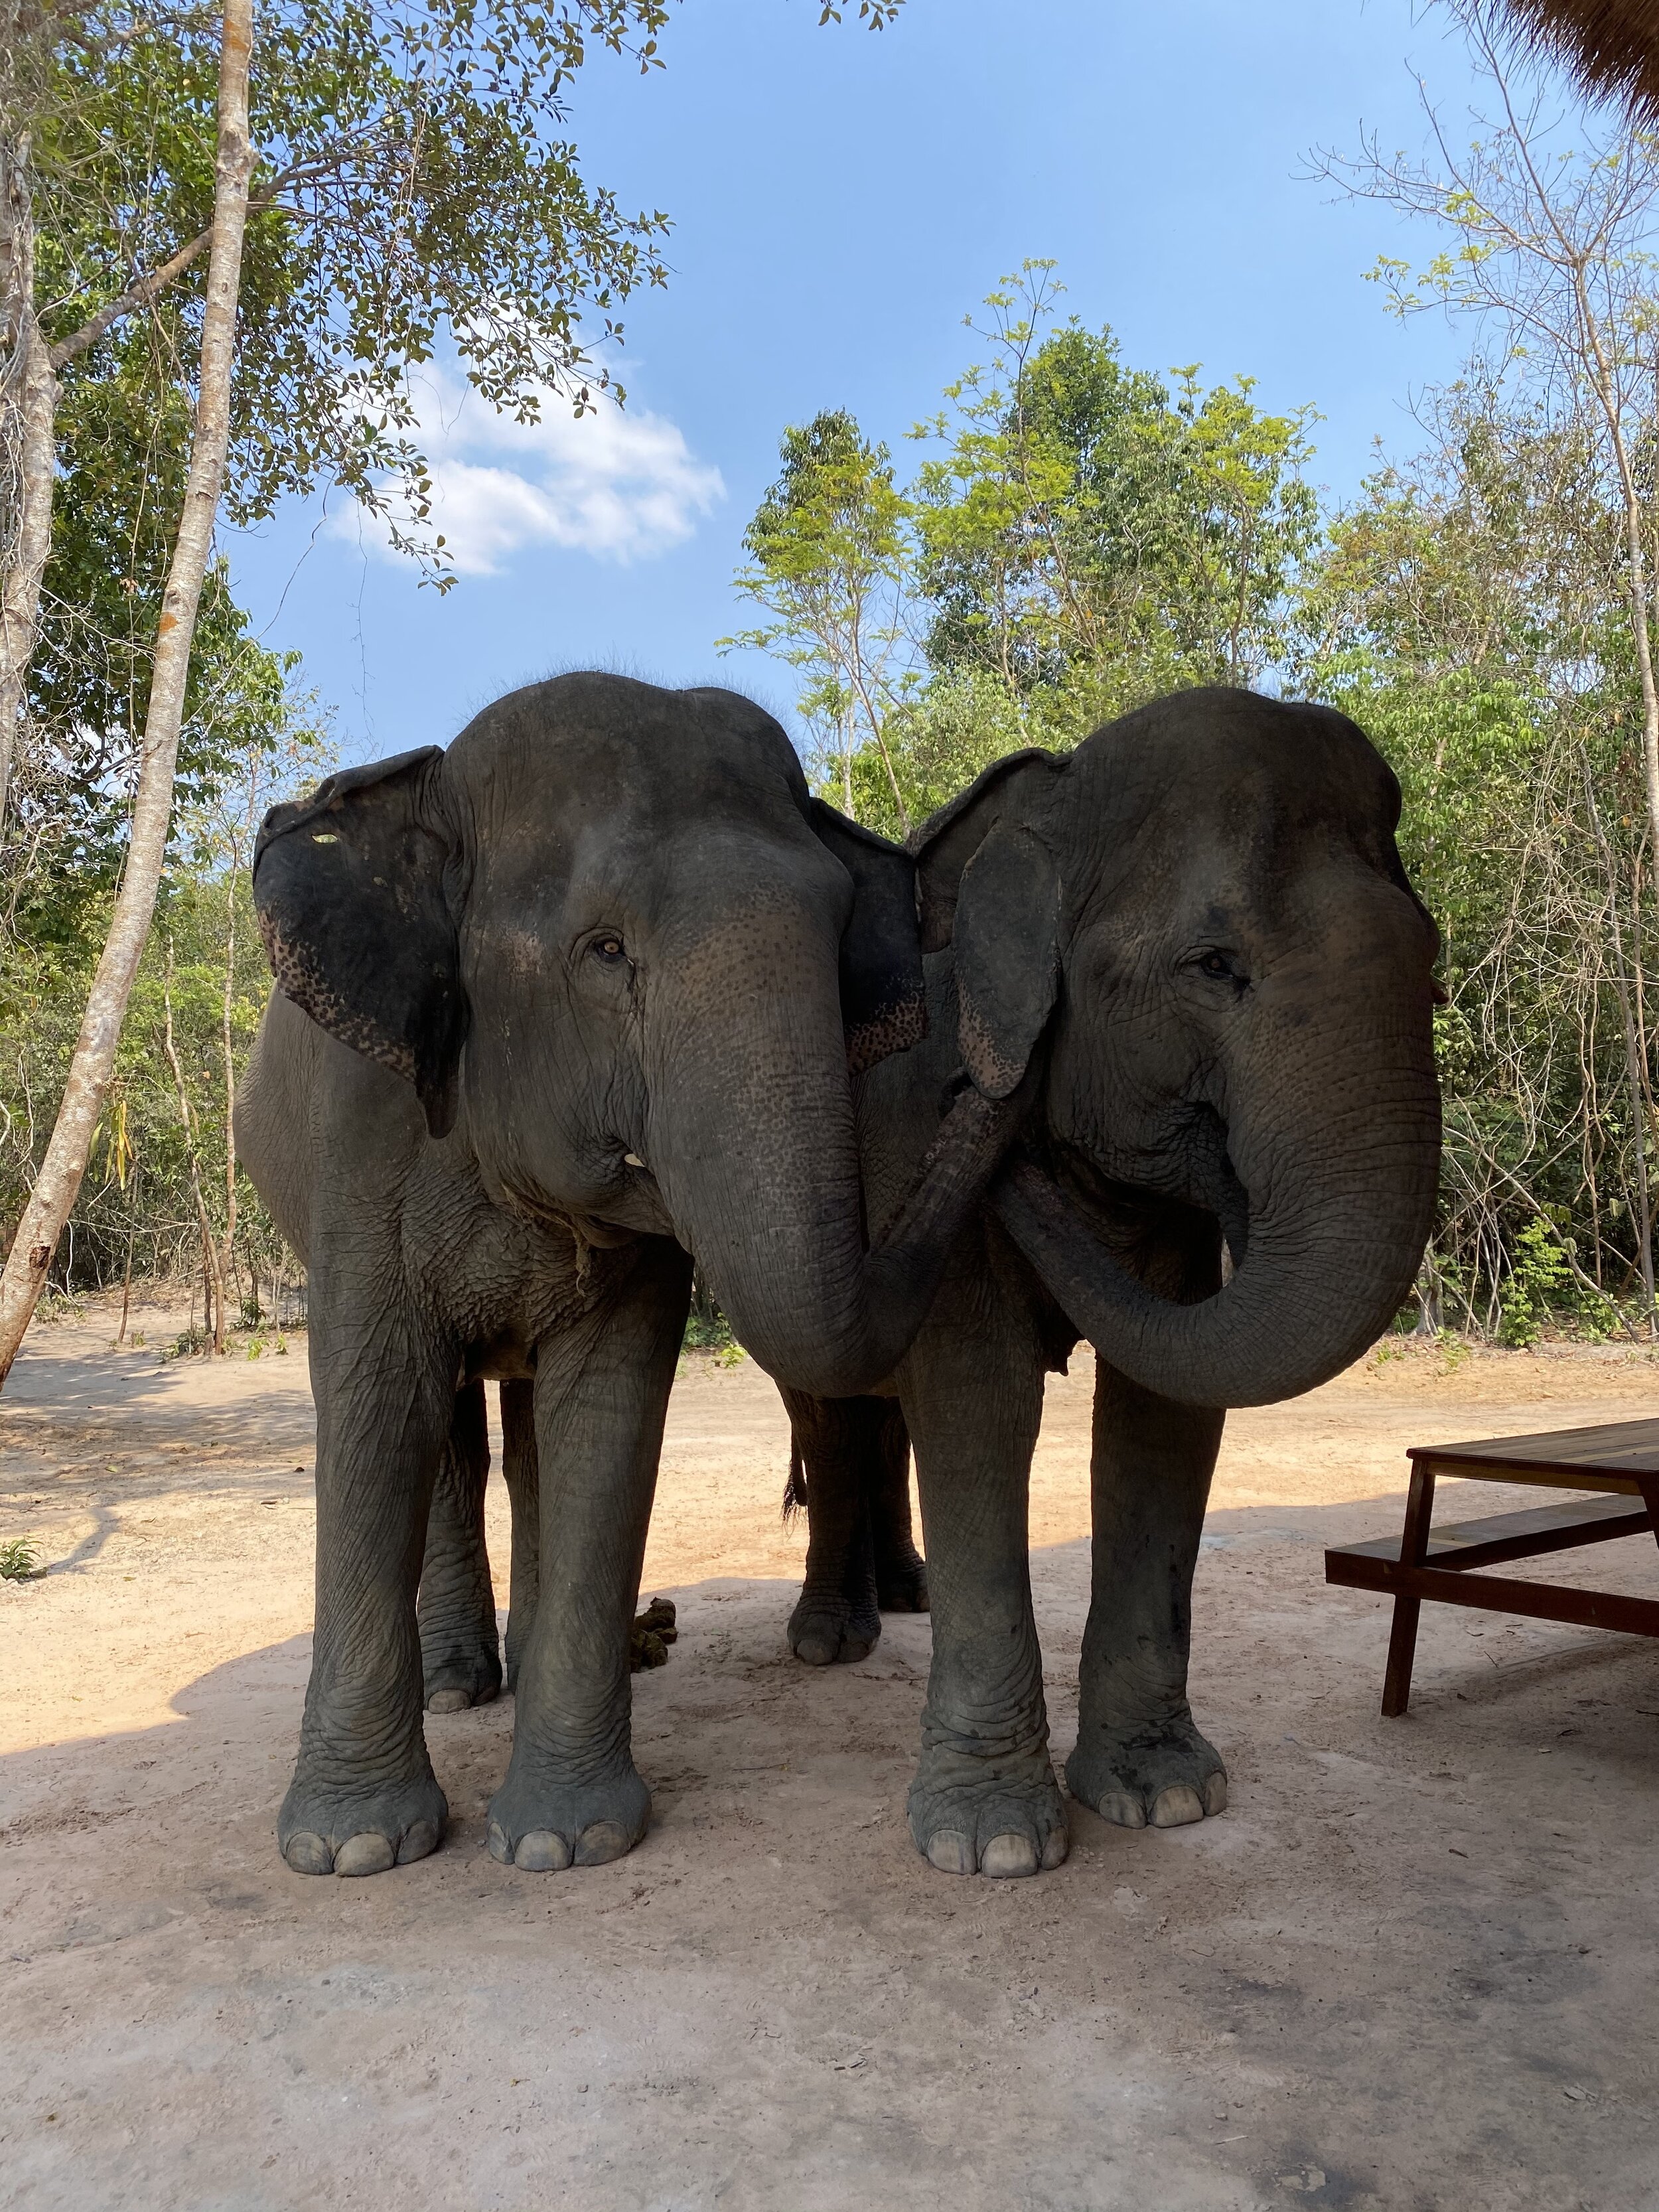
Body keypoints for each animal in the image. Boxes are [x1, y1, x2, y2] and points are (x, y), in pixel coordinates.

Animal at [235, 671, 1028, 1879]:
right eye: (605, 950)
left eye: (840, 938)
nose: (988, 1079)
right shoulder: (358, 1144)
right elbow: (378, 1403)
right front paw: (355, 1848)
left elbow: (607, 1411)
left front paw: (565, 1841)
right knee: (453, 1436)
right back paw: (462, 1685)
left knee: (526, 1435)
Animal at [778, 686, 1440, 1876]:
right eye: (1214, 965)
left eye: (1435, 957)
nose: (988, 1128)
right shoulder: (913, 1141)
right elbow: (982, 1399)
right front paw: (993, 1846)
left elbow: (1166, 1410)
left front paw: (1167, 1796)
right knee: (833, 1413)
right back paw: (831, 1639)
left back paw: (904, 1598)